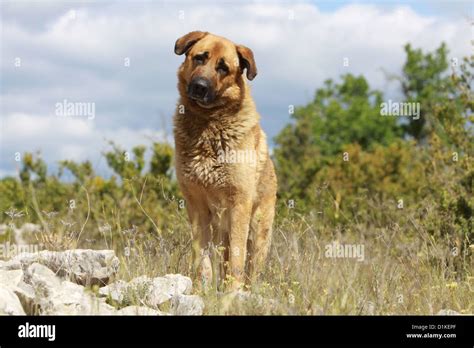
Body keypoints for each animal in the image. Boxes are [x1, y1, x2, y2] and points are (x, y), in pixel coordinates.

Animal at [174, 31, 278, 290]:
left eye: (223, 68)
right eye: (200, 58)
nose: (199, 87)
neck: (208, 122)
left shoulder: (239, 204)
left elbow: (238, 259)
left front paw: (233, 291)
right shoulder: (197, 206)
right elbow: (201, 256)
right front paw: (203, 288)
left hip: (258, 232)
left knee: (251, 266)